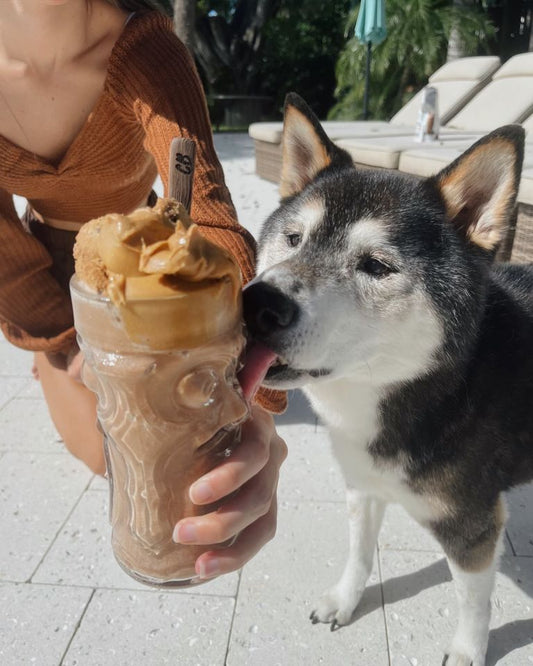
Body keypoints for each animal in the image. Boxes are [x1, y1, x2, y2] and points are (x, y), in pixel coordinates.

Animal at [244, 93, 532, 664]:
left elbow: (473, 601)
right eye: (293, 239)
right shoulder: (362, 484)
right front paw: (344, 601)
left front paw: (467, 651)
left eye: (376, 266)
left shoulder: (471, 524)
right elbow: (359, 553)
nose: (259, 303)